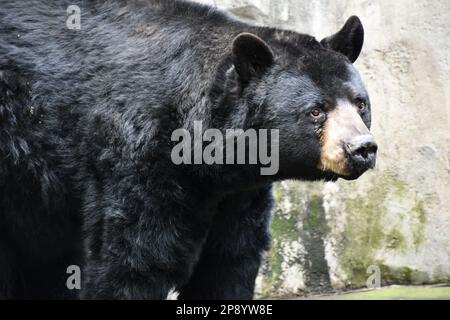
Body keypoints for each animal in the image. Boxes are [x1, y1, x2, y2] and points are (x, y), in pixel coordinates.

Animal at [0, 0, 376, 300]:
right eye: (316, 110)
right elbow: (135, 259)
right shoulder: (137, 153)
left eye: (360, 104)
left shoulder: (237, 193)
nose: (363, 148)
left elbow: (230, 259)